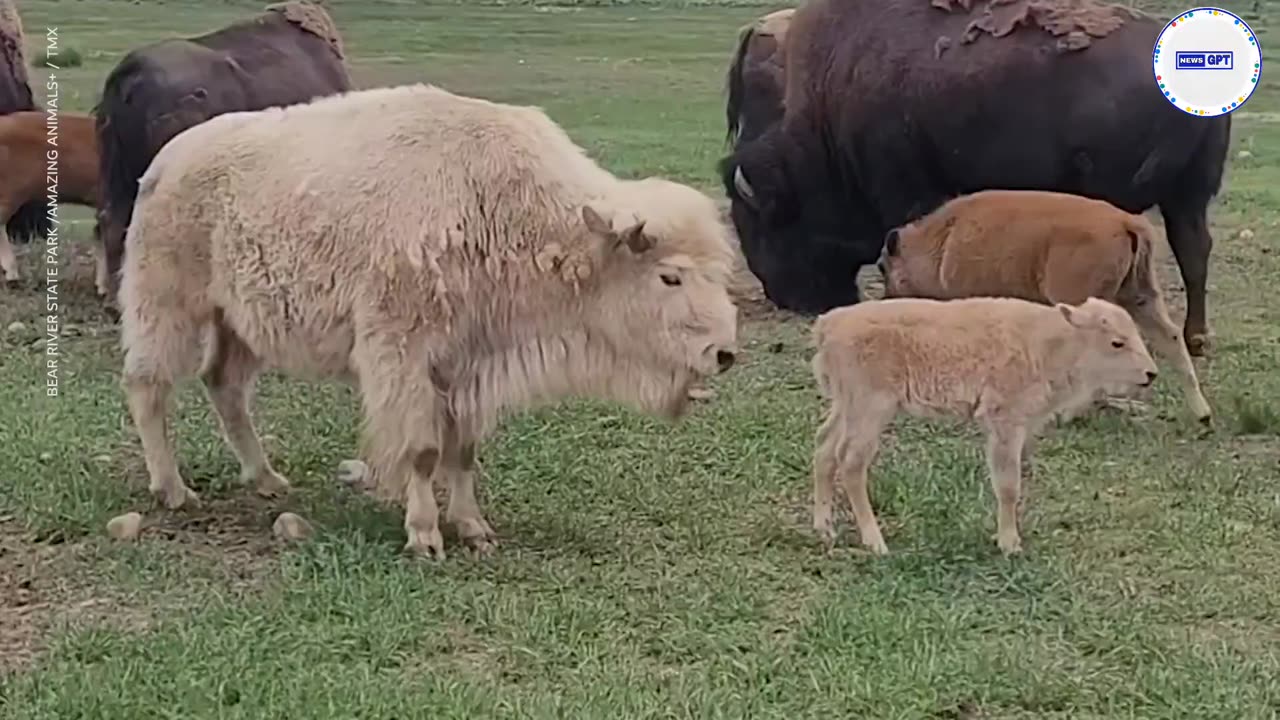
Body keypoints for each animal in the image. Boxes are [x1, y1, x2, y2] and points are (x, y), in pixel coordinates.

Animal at [122, 82, 742, 556]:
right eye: (670, 277)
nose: (724, 353)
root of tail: (165, 161)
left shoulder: (468, 365)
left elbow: (461, 449)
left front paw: (474, 527)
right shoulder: (404, 357)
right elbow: (421, 450)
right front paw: (424, 536)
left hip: (240, 322)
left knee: (223, 384)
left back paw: (267, 480)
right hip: (169, 305)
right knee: (149, 385)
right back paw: (173, 490)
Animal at [721, 0, 1228, 356]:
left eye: (759, 224)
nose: (788, 298)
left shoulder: (906, 188)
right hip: (1189, 194)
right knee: (1194, 250)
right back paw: (1197, 339)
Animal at [814, 294, 1167, 550]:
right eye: (1117, 342)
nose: (1151, 374)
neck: (1050, 343)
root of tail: (829, 323)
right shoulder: (1005, 423)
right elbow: (1008, 485)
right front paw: (1010, 544)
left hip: (846, 407)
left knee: (824, 449)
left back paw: (825, 529)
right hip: (871, 410)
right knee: (851, 462)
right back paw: (875, 542)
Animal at [875, 188, 1213, 422]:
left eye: (883, 267)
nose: (887, 300)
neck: (944, 240)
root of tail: (1127, 222)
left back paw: (1065, 415)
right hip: (1140, 296)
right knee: (1170, 337)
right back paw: (1202, 414)